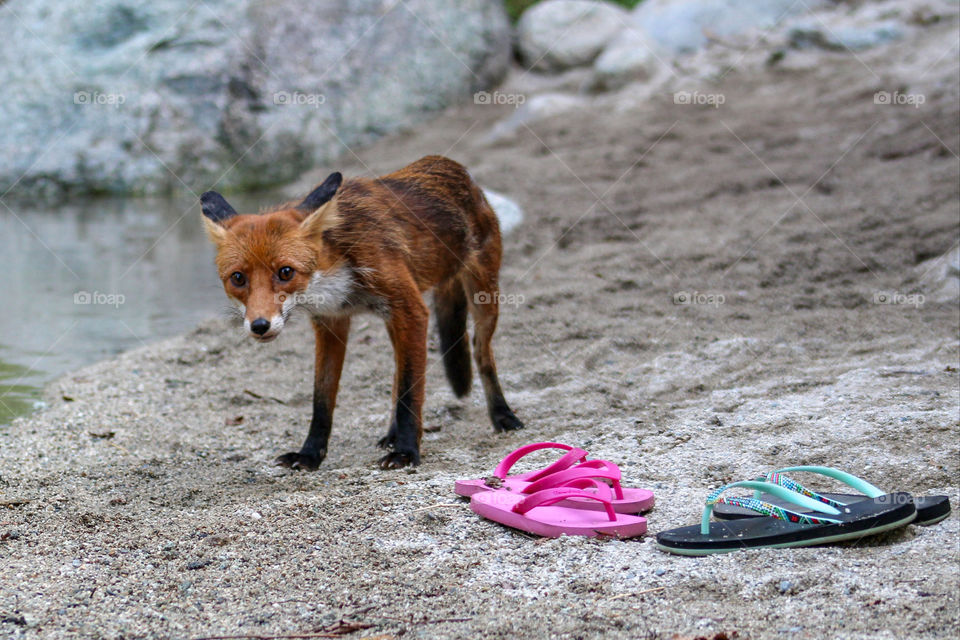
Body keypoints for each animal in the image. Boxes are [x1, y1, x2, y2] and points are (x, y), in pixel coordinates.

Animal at [201, 155, 523, 469]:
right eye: (238, 278)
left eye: (285, 272)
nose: (259, 325)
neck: (336, 273)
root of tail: (457, 169)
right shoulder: (332, 323)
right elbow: (322, 400)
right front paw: (310, 455)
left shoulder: (412, 309)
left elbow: (411, 392)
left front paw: (407, 451)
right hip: (395, 322)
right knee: (398, 373)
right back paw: (392, 433)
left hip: (482, 297)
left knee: (481, 353)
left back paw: (502, 415)